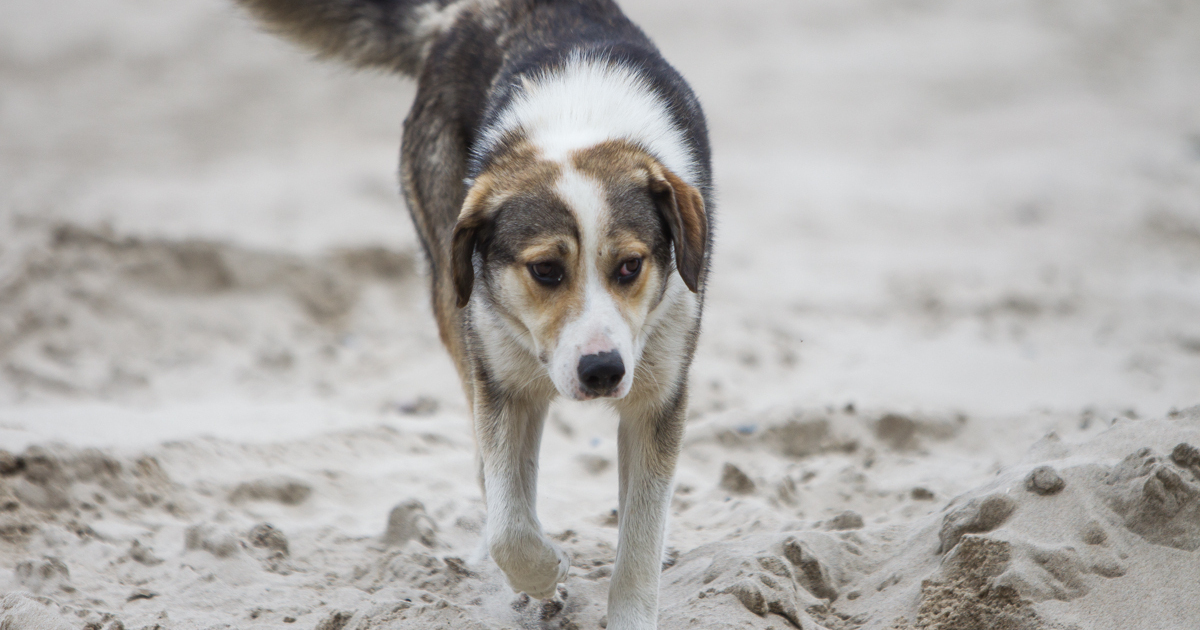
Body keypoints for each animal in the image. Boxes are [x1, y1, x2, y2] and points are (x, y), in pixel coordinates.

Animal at [234, 2, 710, 624]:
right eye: (546, 270)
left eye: (630, 266)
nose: (603, 371)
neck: (578, 124)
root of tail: (460, 13)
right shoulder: (502, 383)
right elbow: (510, 524)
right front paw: (545, 572)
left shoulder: (658, 395)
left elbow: (640, 541)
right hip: (453, 297)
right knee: (493, 475)